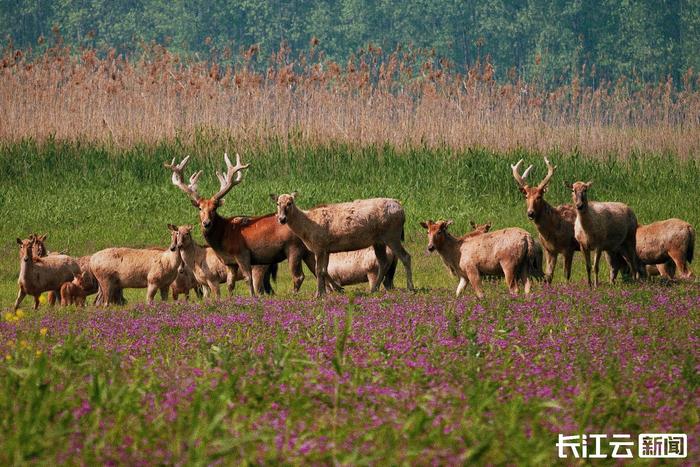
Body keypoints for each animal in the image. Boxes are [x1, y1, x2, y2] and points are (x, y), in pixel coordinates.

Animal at [164, 153, 320, 296]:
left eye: (214, 208)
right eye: (200, 208)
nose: (206, 223)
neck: (223, 238)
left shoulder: (242, 253)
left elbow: (247, 279)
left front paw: (252, 299)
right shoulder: (229, 262)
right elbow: (230, 284)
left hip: (293, 248)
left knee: (298, 276)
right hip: (307, 251)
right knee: (317, 271)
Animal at [270, 193, 412, 296]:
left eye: (290, 203)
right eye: (277, 203)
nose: (282, 219)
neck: (306, 231)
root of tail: (402, 210)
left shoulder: (319, 245)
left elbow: (318, 270)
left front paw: (318, 294)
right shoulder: (326, 249)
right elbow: (324, 270)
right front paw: (329, 291)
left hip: (392, 234)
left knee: (406, 257)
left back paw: (410, 287)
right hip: (379, 241)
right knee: (383, 262)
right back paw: (374, 289)